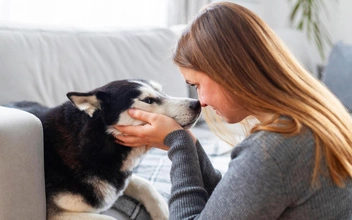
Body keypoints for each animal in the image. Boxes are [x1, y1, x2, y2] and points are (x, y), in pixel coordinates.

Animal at [6, 79, 201, 220]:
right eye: (148, 100)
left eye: (161, 91)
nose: (197, 103)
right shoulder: (57, 214)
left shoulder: (119, 178)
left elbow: (145, 185)